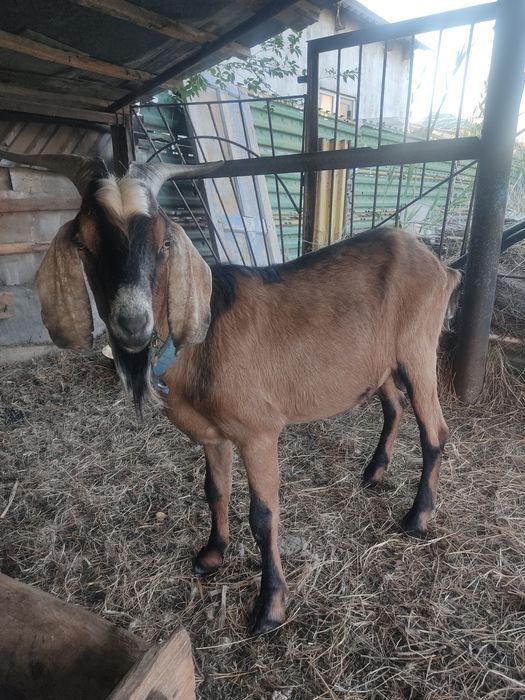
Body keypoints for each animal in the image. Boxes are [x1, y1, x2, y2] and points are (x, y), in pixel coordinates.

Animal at [0, 149, 460, 635]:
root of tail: (441, 266)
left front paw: (270, 608)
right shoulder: (211, 434)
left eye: (164, 243)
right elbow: (214, 490)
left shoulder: (258, 432)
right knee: (393, 406)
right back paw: (373, 473)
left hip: (417, 349)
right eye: (85, 244)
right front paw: (211, 555)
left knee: (434, 431)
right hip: (381, 362)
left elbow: (264, 515)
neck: (201, 344)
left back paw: (417, 517)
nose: (132, 323)